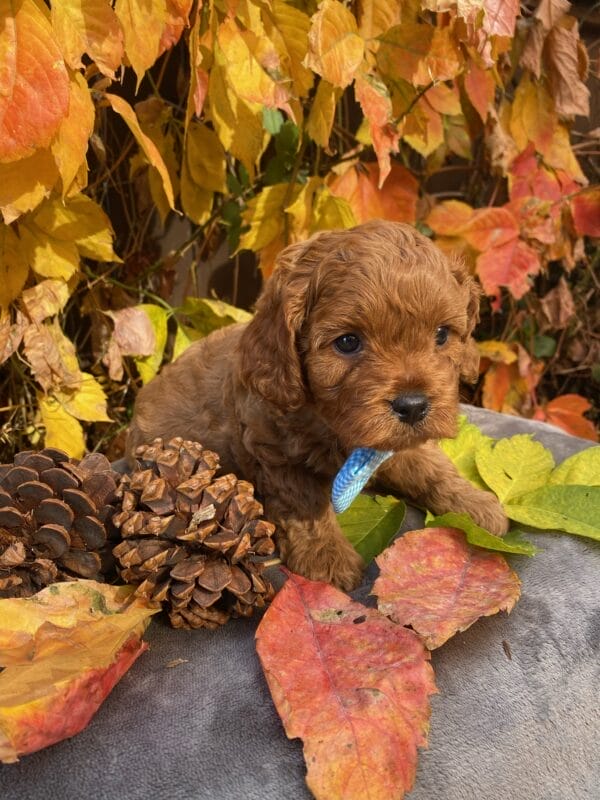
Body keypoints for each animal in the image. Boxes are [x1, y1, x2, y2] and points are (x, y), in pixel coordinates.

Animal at [129, 222, 508, 592]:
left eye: (442, 334)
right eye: (348, 342)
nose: (413, 406)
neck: (329, 421)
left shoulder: (395, 442)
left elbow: (430, 466)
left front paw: (475, 504)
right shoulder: (272, 451)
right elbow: (304, 501)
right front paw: (326, 556)